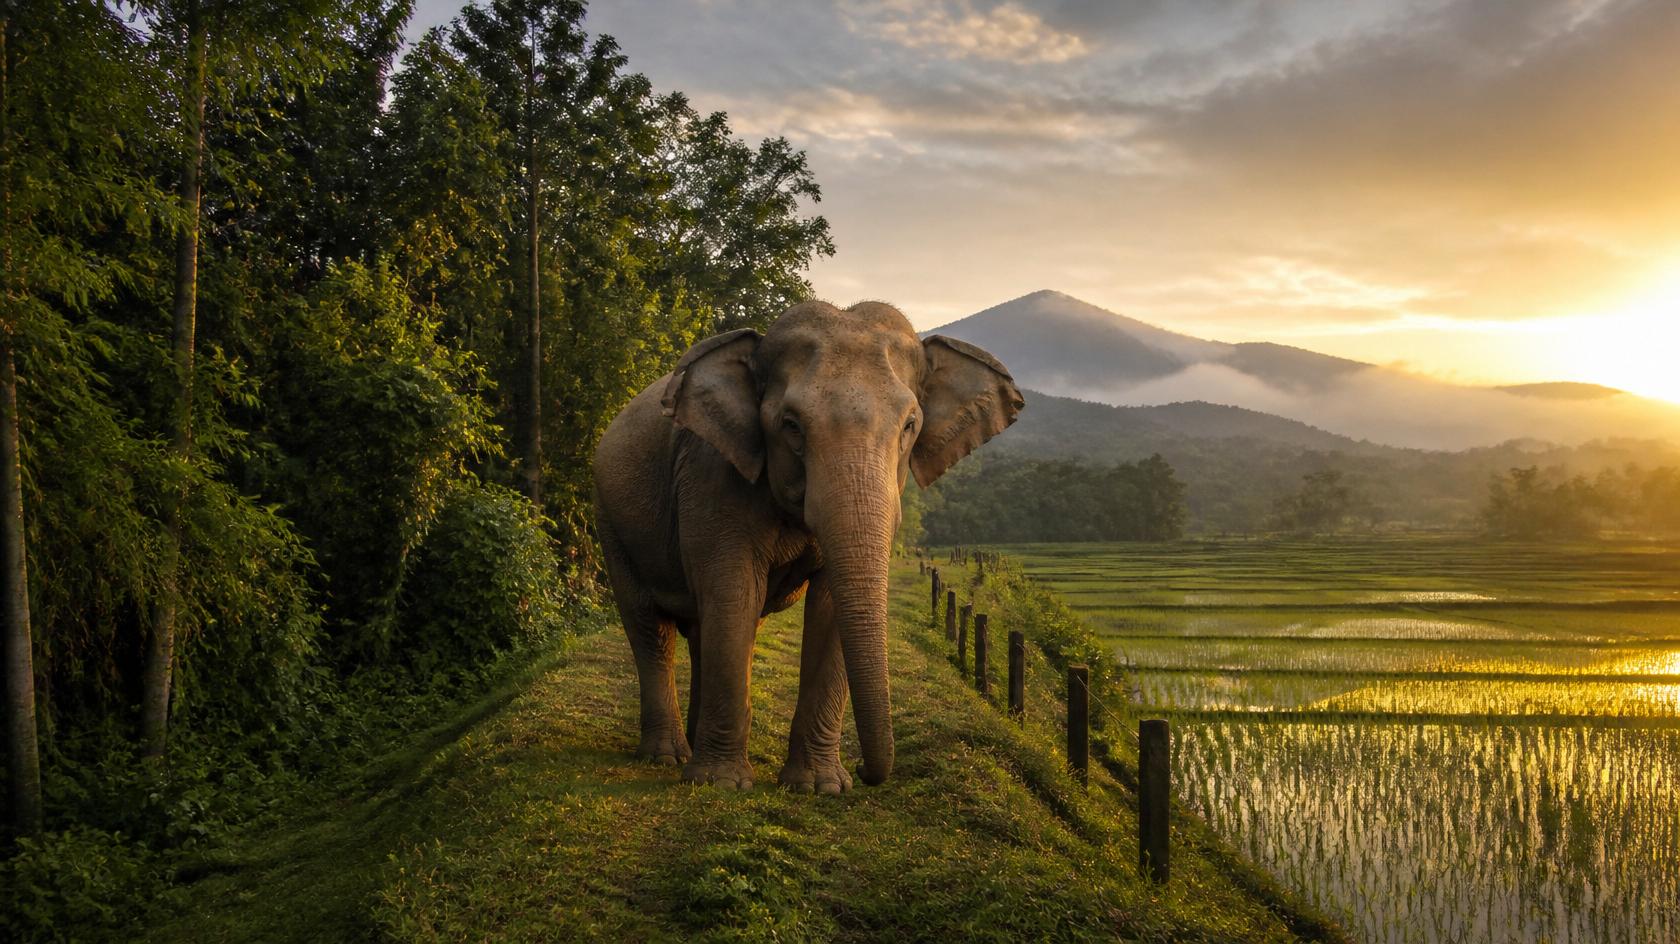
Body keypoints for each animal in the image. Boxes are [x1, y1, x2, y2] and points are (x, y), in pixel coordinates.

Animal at [590, 300, 1023, 791]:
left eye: (910, 425)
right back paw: (667, 756)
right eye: (791, 425)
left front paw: (820, 786)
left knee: (704, 627)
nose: (866, 771)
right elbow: (734, 593)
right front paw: (721, 784)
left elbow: (828, 606)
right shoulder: (710, 475)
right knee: (651, 626)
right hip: (609, 518)